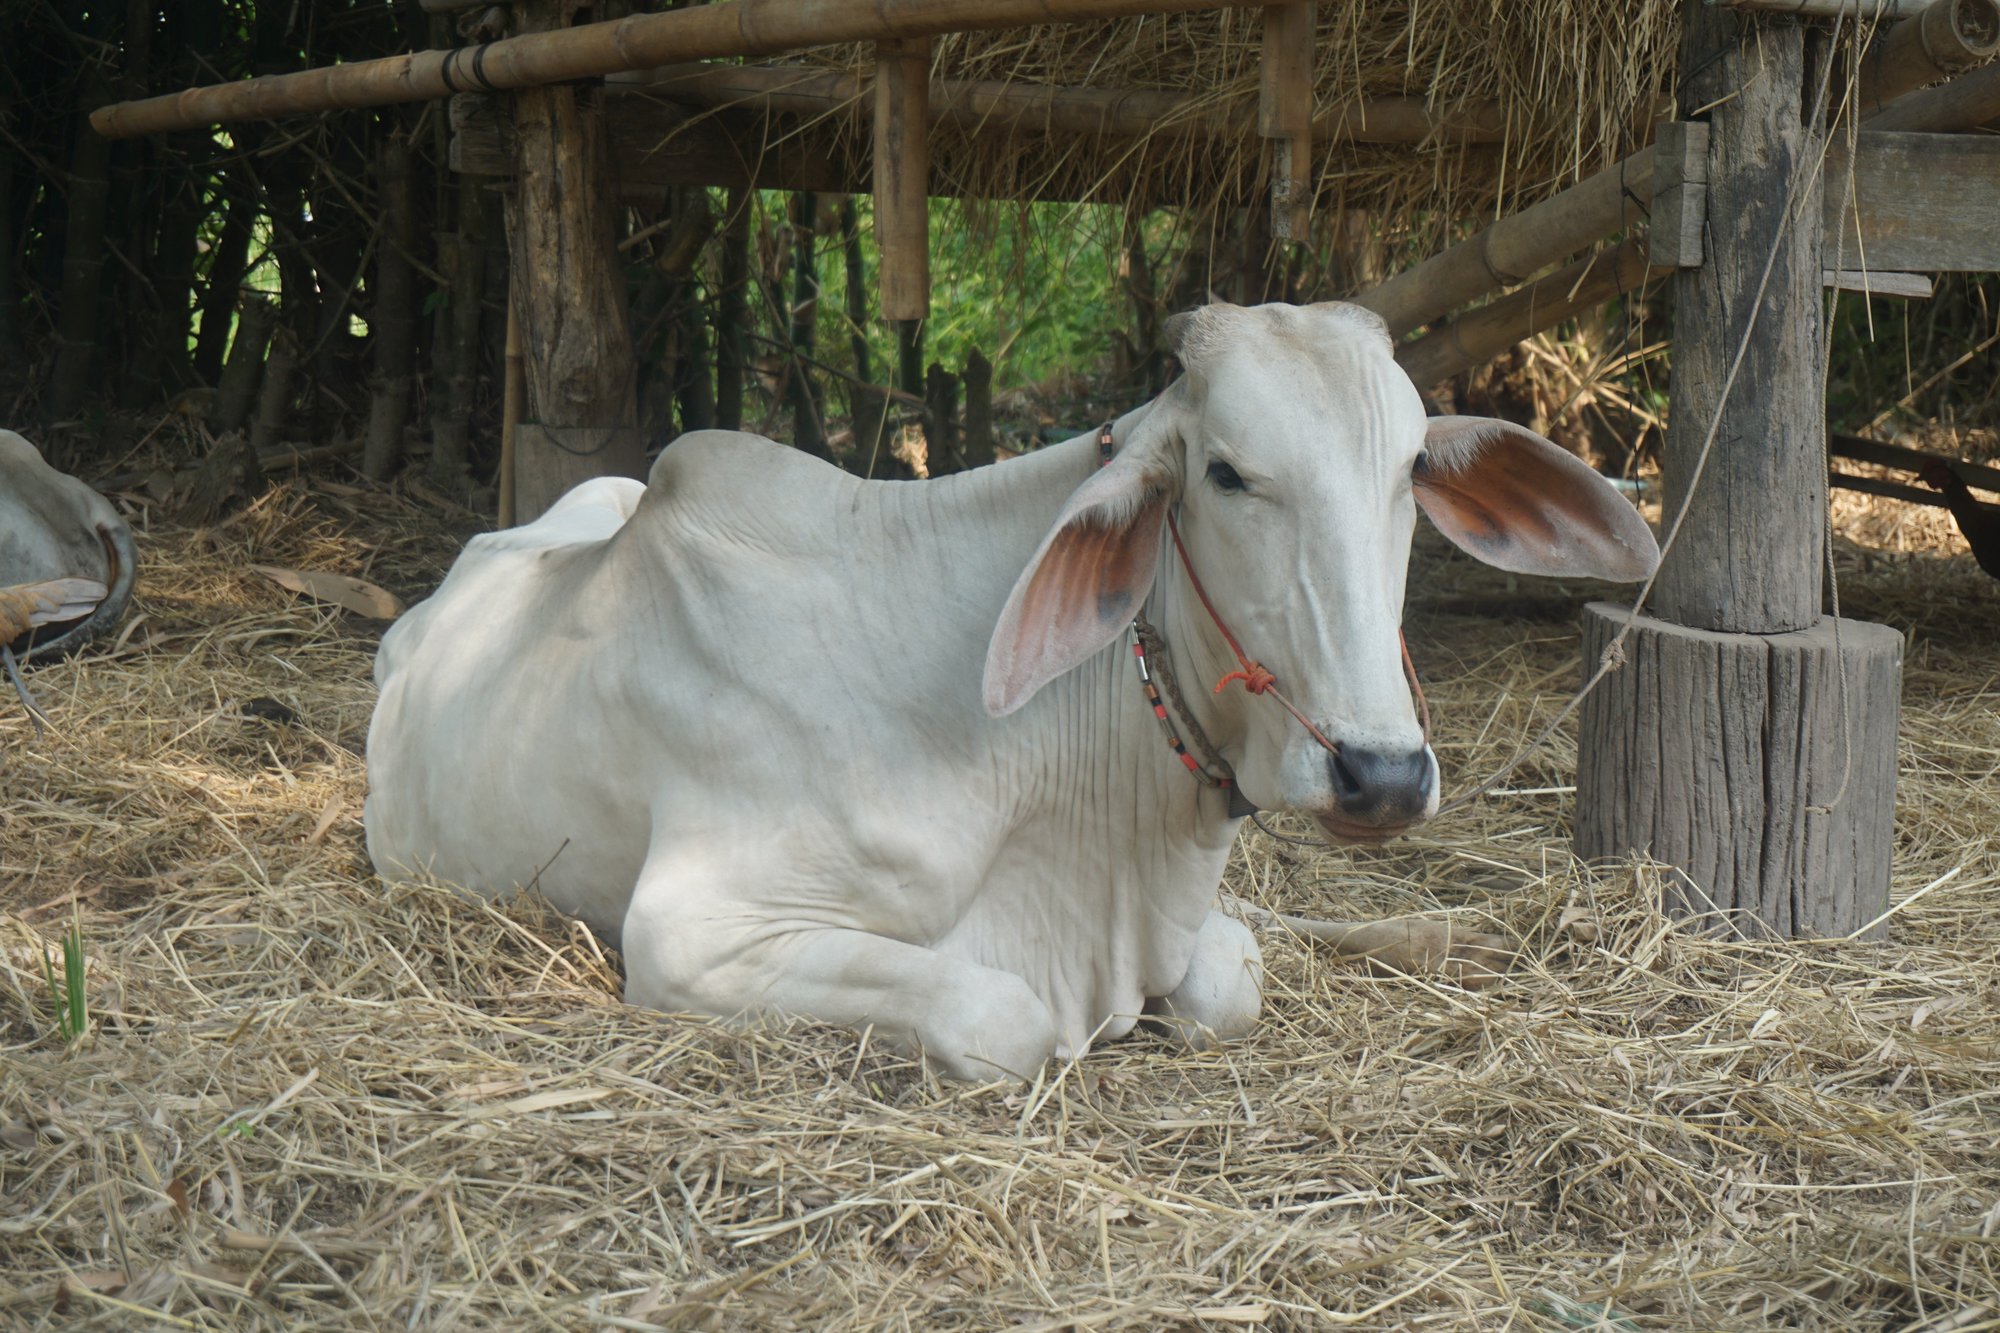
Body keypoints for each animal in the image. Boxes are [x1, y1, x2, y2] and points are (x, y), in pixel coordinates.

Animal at [365, 301, 1659, 1081]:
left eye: (1407, 472)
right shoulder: (688, 931)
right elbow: (1003, 1015)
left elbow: (1231, 970)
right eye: (1227, 473)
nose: (1379, 773)